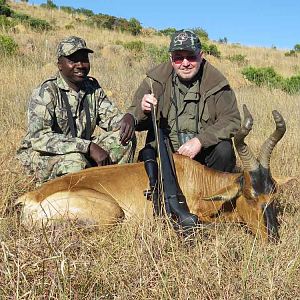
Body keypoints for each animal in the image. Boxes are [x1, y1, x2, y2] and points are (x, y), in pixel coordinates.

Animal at [17, 104, 290, 240]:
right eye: (250, 195)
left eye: (273, 195)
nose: (272, 239)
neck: (197, 180)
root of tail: (30, 197)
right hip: (111, 213)